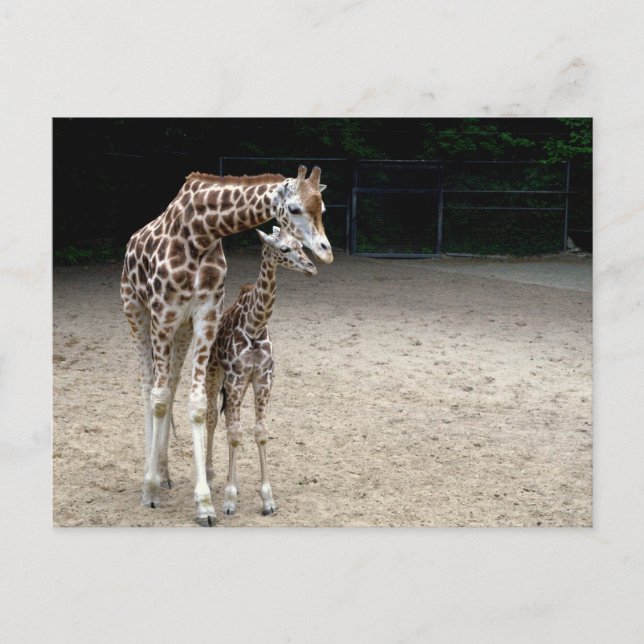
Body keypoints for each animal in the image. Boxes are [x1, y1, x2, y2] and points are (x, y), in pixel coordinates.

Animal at [205, 226, 316, 517]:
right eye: (284, 249)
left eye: (301, 245)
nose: (311, 267)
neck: (254, 326)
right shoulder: (234, 378)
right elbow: (235, 432)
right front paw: (229, 500)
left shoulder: (263, 379)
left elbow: (260, 432)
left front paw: (267, 499)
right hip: (214, 373)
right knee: (212, 418)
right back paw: (209, 476)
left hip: (239, 385)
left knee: (229, 422)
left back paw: (233, 479)